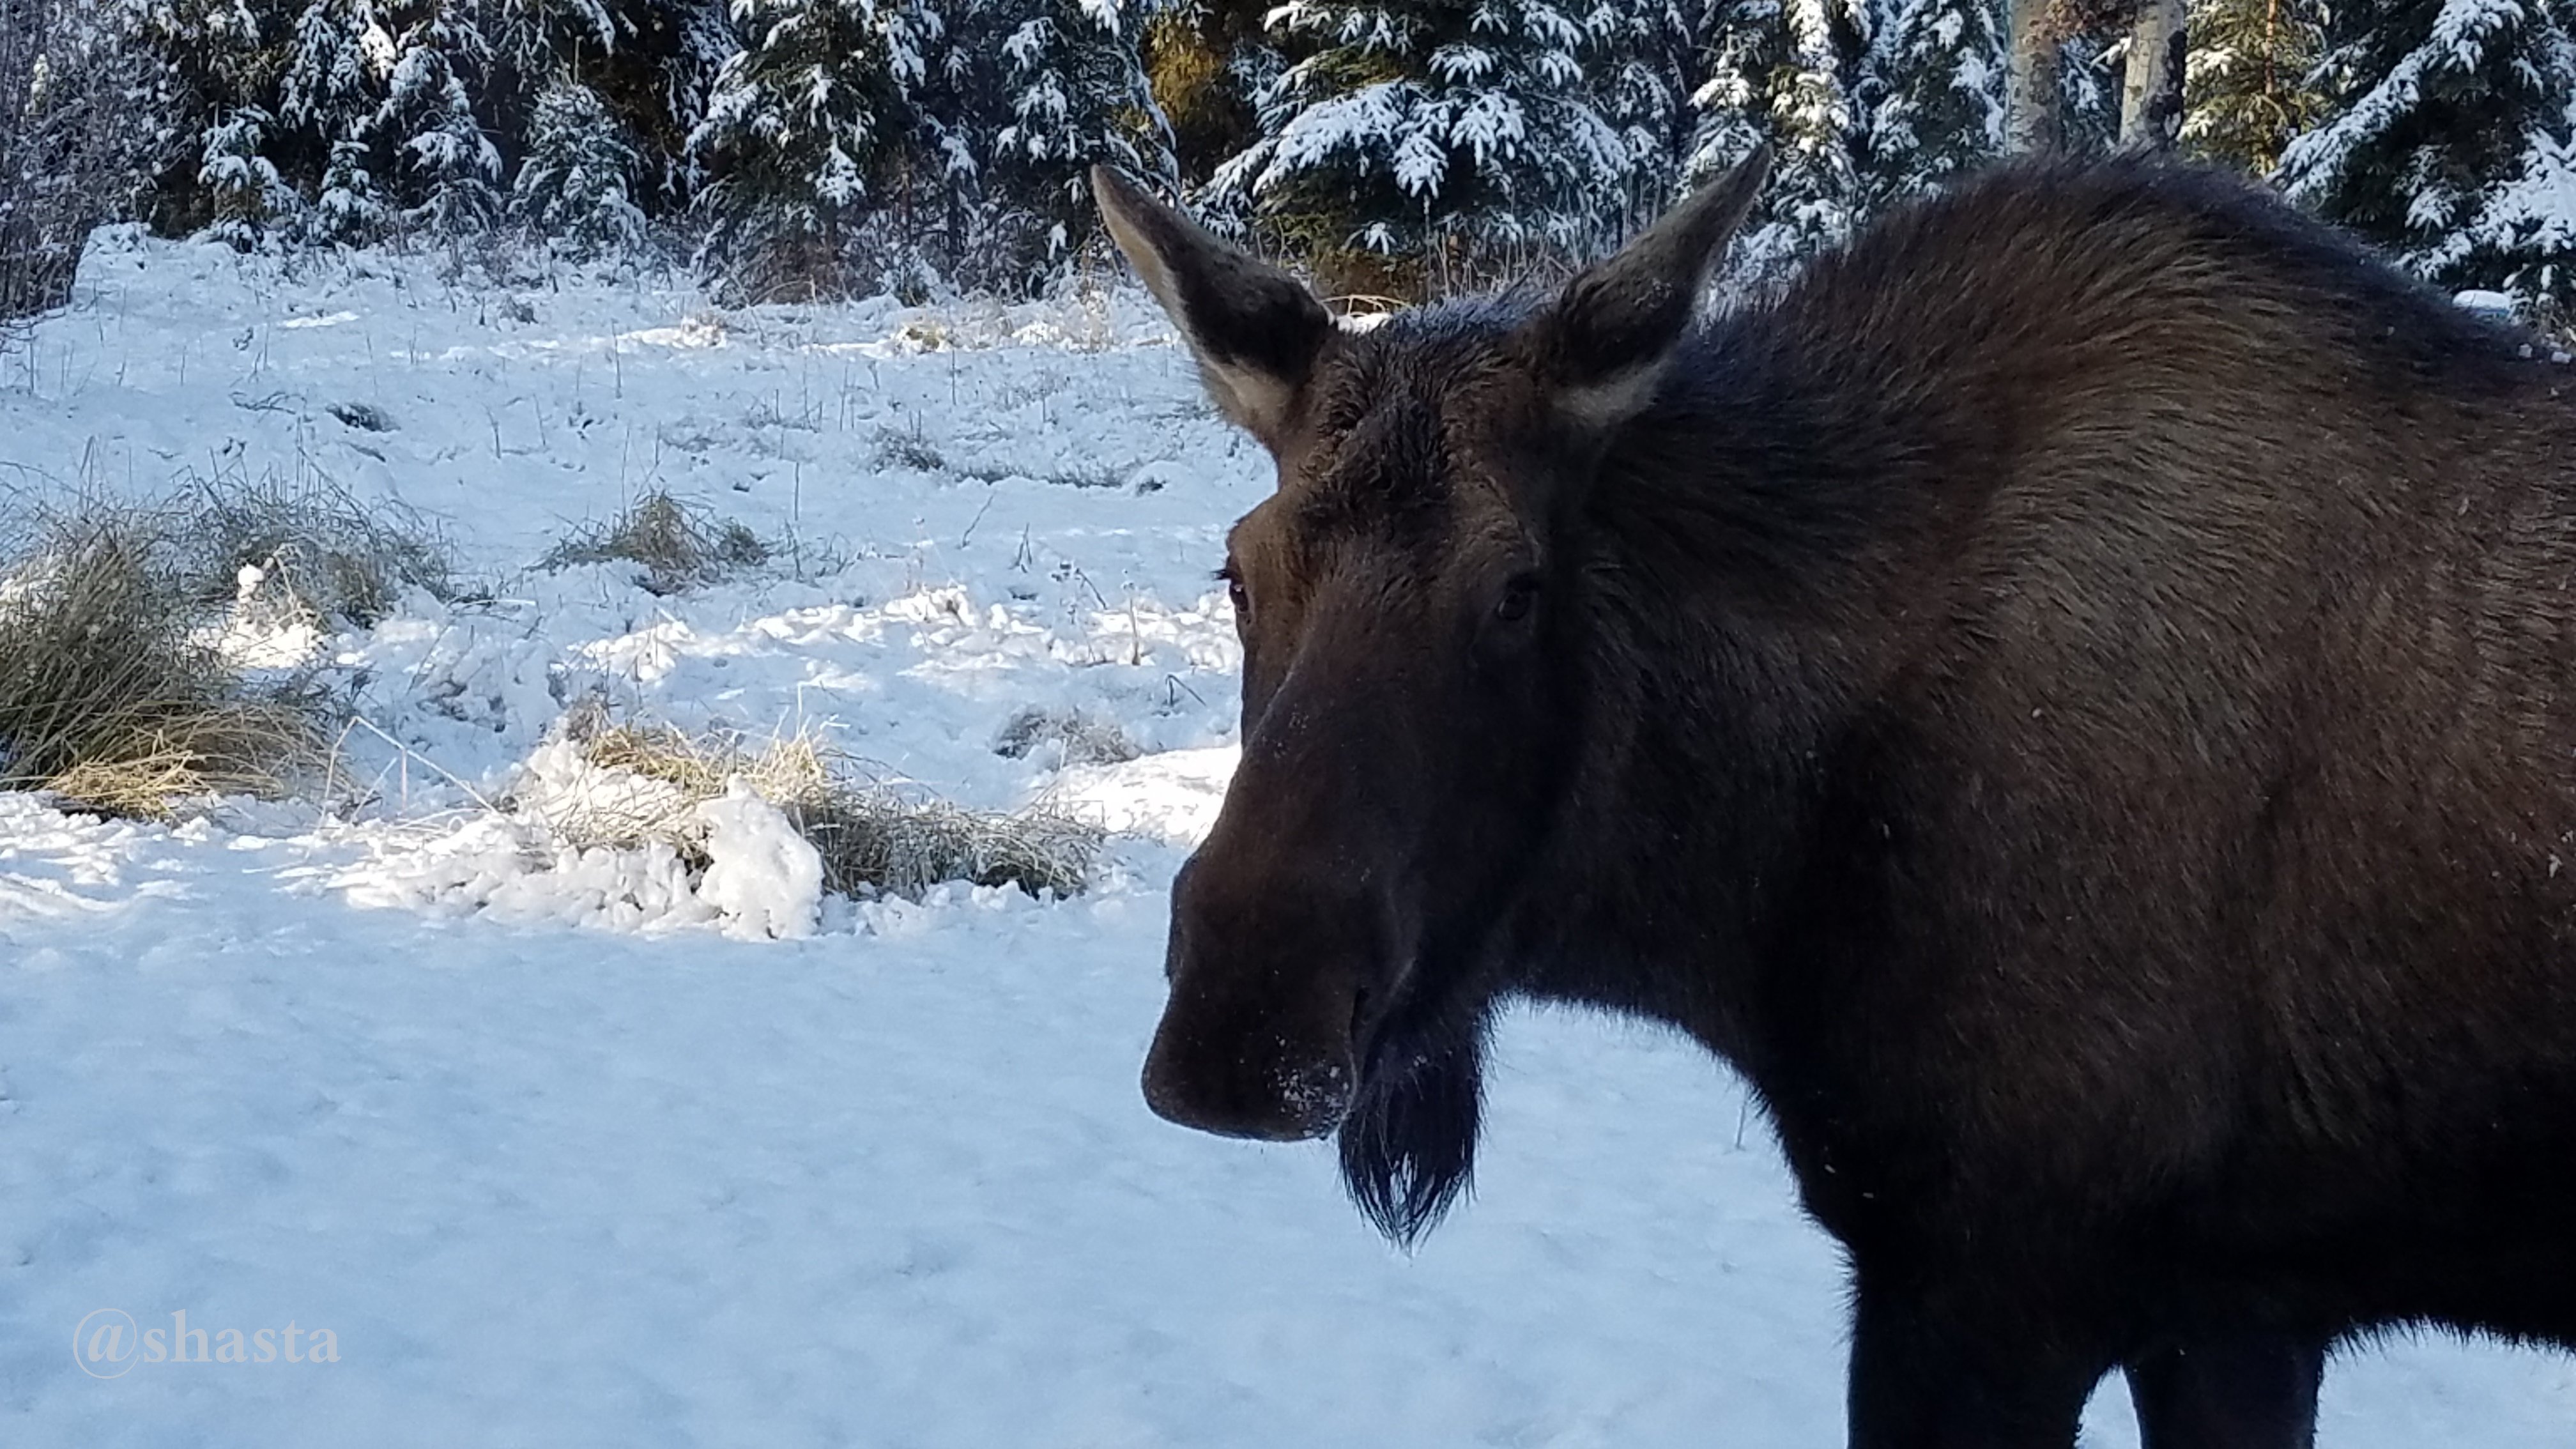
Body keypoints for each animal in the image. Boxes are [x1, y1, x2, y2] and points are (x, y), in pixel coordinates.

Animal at [1087, 150, 2576, 1443]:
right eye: (1238, 572)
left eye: (1518, 590)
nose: (1241, 1019)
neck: (1742, 899)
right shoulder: (2233, 1310)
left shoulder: (1993, 1281)